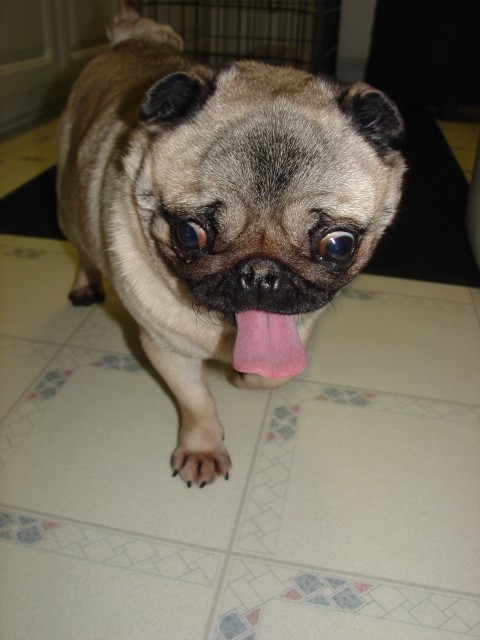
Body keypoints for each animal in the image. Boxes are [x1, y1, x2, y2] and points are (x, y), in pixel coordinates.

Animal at [57, 5, 406, 487]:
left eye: (338, 245)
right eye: (189, 234)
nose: (260, 272)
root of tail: (138, 40)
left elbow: (270, 377)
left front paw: (242, 378)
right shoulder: (166, 349)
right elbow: (196, 402)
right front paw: (202, 448)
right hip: (69, 204)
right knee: (82, 248)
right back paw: (85, 284)